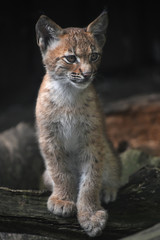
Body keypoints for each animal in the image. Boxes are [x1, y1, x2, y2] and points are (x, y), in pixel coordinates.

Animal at [35, 11, 120, 236]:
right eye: (71, 58)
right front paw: (63, 199)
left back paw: (108, 189)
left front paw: (90, 213)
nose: (88, 74)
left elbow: (91, 178)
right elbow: (59, 170)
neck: (68, 92)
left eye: (94, 56)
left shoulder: (93, 138)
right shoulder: (49, 137)